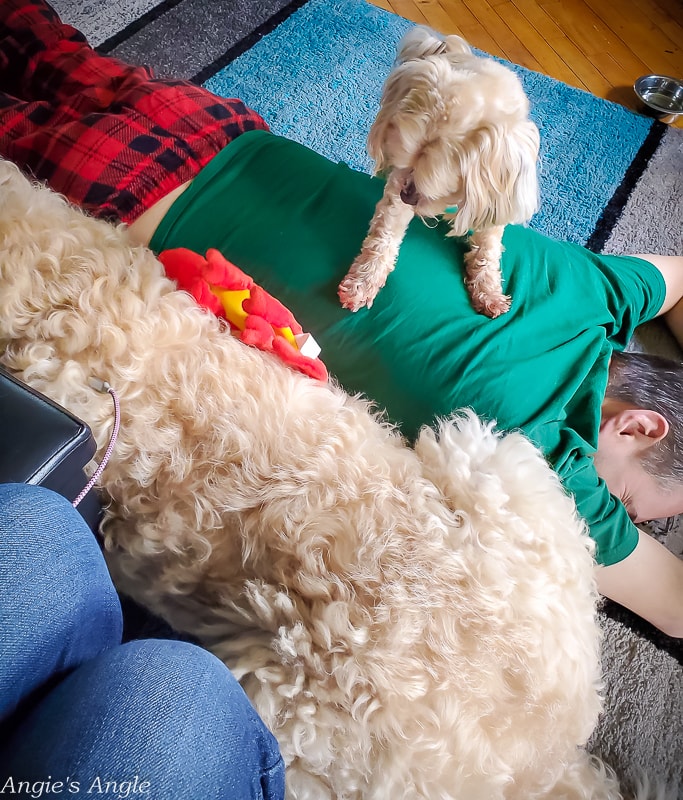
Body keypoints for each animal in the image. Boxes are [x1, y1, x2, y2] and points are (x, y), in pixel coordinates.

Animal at [340, 28, 544, 316]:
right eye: (408, 167)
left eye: (435, 186)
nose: (407, 197)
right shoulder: (398, 183)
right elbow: (384, 236)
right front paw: (363, 281)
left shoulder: (497, 198)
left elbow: (487, 249)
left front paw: (488, 291)